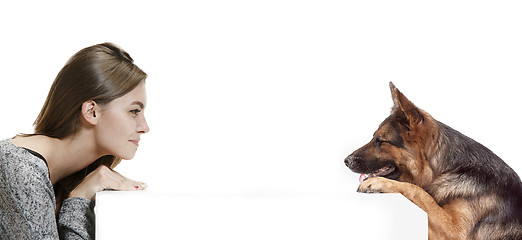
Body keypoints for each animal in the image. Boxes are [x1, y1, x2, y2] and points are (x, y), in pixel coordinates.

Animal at [344, 82, 516, 238]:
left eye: (381, 140)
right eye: (373, 138)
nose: (346, 161)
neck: (444, 169)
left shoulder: (456, 231)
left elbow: (419, 192)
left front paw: (377, 183)